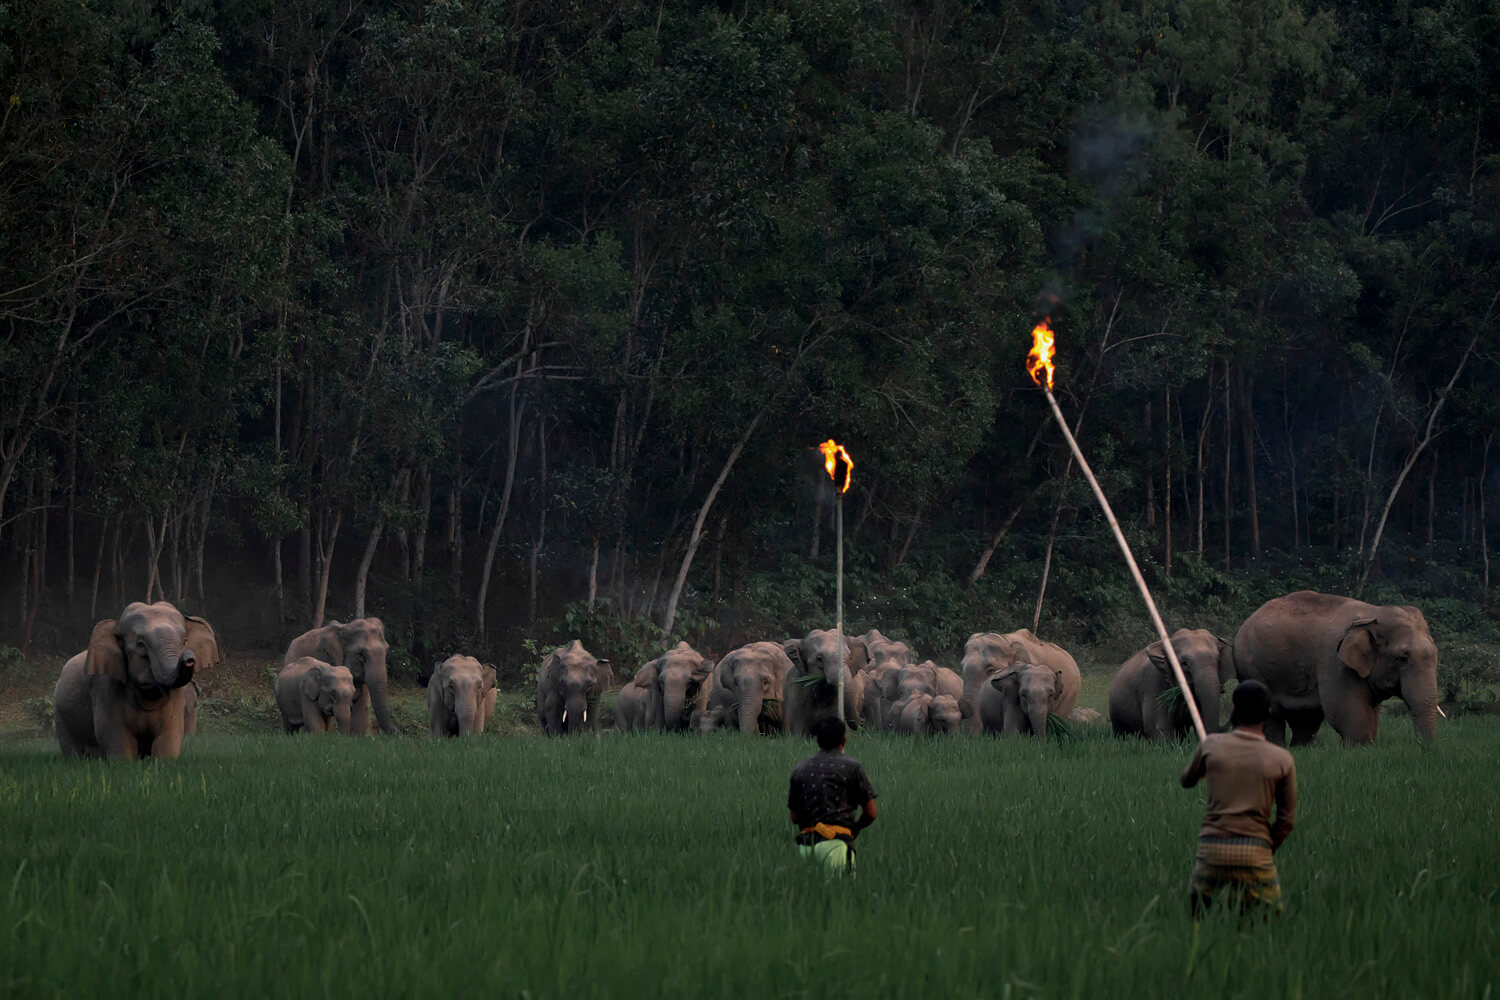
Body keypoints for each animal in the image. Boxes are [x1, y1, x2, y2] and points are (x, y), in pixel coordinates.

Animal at [52, 602, 219, 758]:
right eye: (141, 644)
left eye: (184, 641)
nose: (189, 658)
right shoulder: (106, 689)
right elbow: (117, 739)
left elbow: (169, 737)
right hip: (60, 713)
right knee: (72, 749)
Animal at [1230, 590, 1440, 746]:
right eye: (1402, 658)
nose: (1423, 747)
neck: (1374, 613)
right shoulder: (1335, 661)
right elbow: (1345, 708)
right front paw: (1358, 748)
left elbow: (1372, 710)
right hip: (1252, 667)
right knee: (1272, 714)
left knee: (1306, 718)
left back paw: (1301, 749)